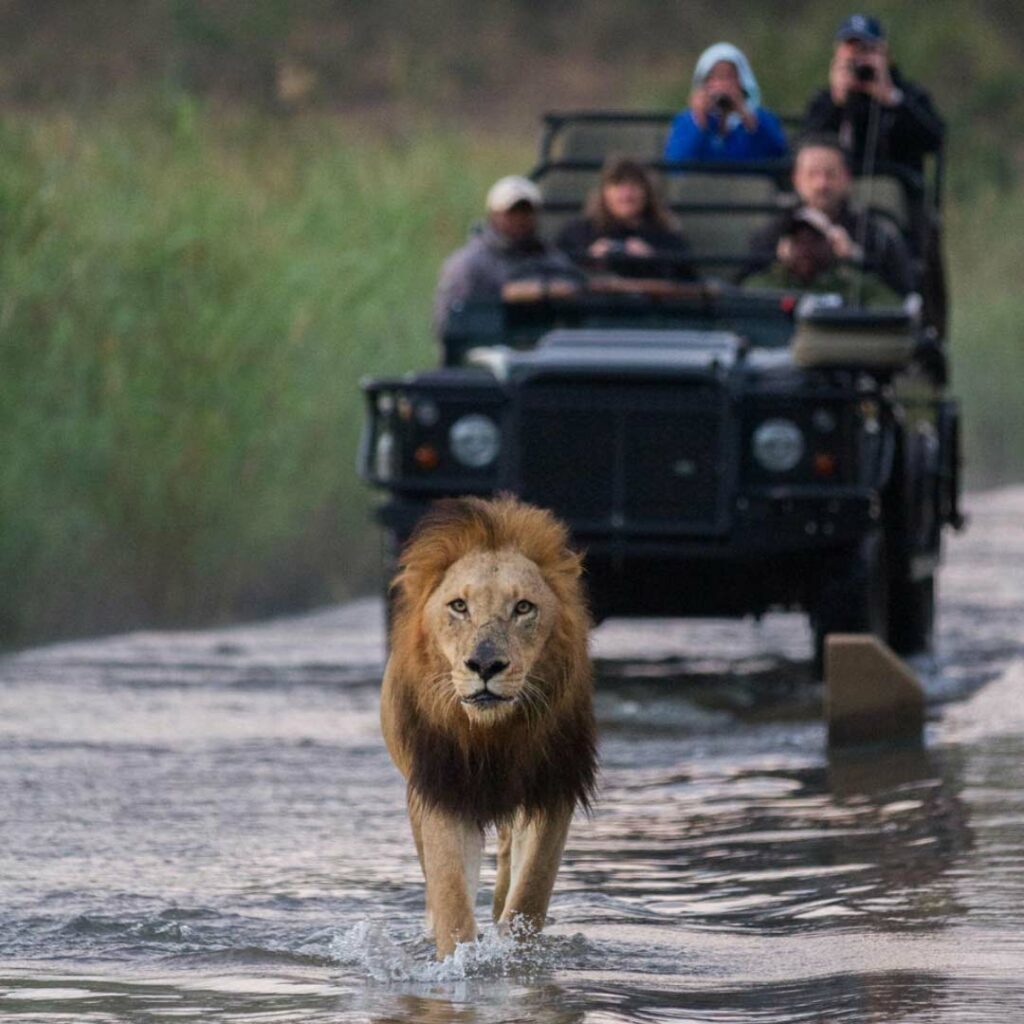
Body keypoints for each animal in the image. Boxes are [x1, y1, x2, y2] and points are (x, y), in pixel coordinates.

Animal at [380, 495, 598, 958]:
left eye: (523, 607)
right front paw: (461, 960)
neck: (494, 734)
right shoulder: (445, 790)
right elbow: (451, 899)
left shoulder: (552, 789)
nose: (484, 665)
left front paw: (514, 953)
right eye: (459, 606)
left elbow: (530, 892)